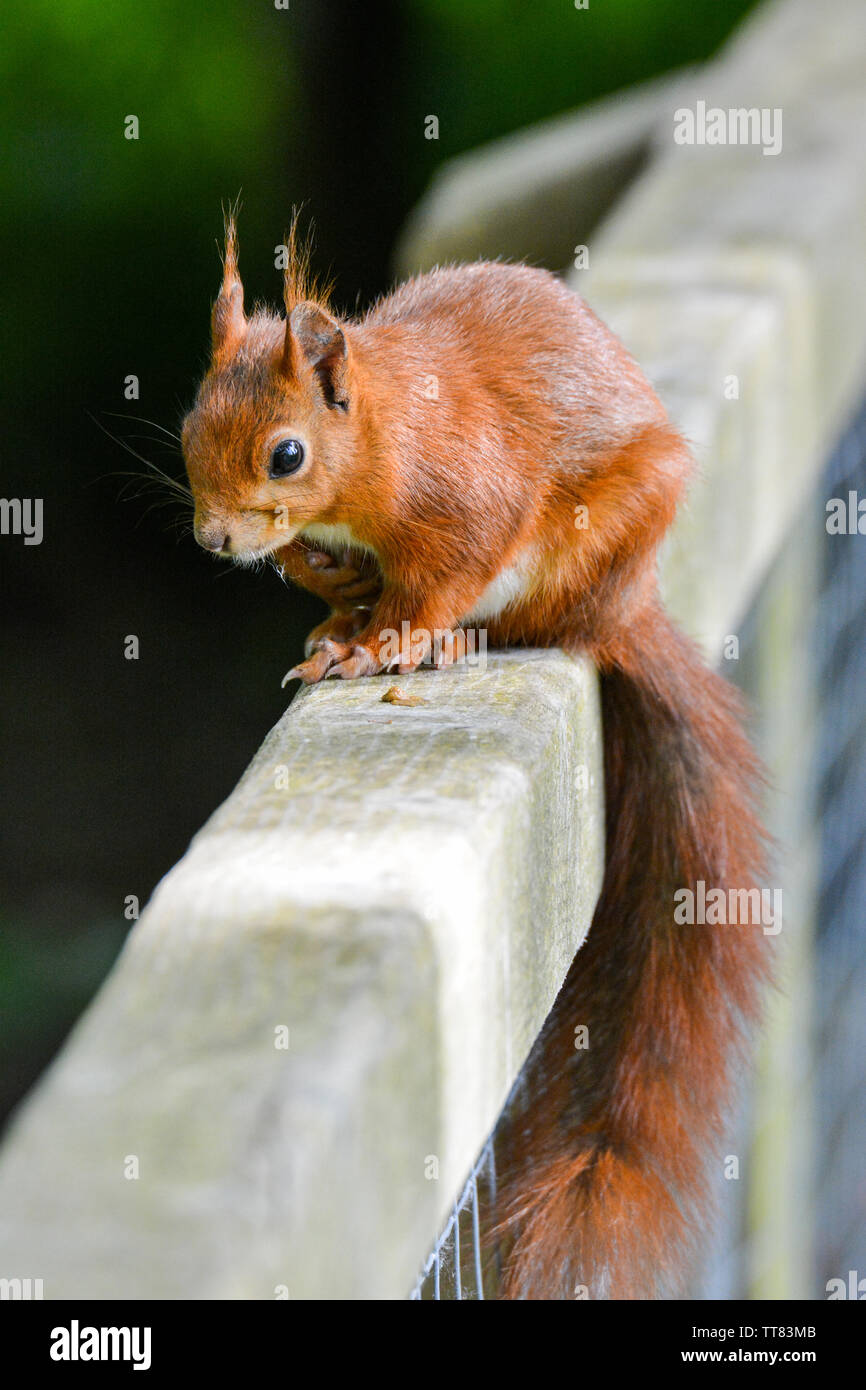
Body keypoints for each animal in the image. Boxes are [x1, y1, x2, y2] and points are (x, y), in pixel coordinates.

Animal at [181, 217, 771, 1299]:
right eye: (191, 424)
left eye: (286, 454)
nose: (215, 539)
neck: (379, 436)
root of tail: (626, 612)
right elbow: (340, 577)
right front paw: (329, 600)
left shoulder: (464, 496)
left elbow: (443, 570)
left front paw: (384, 637)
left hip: (588, 555)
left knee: (536, 618)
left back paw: (454, 640)